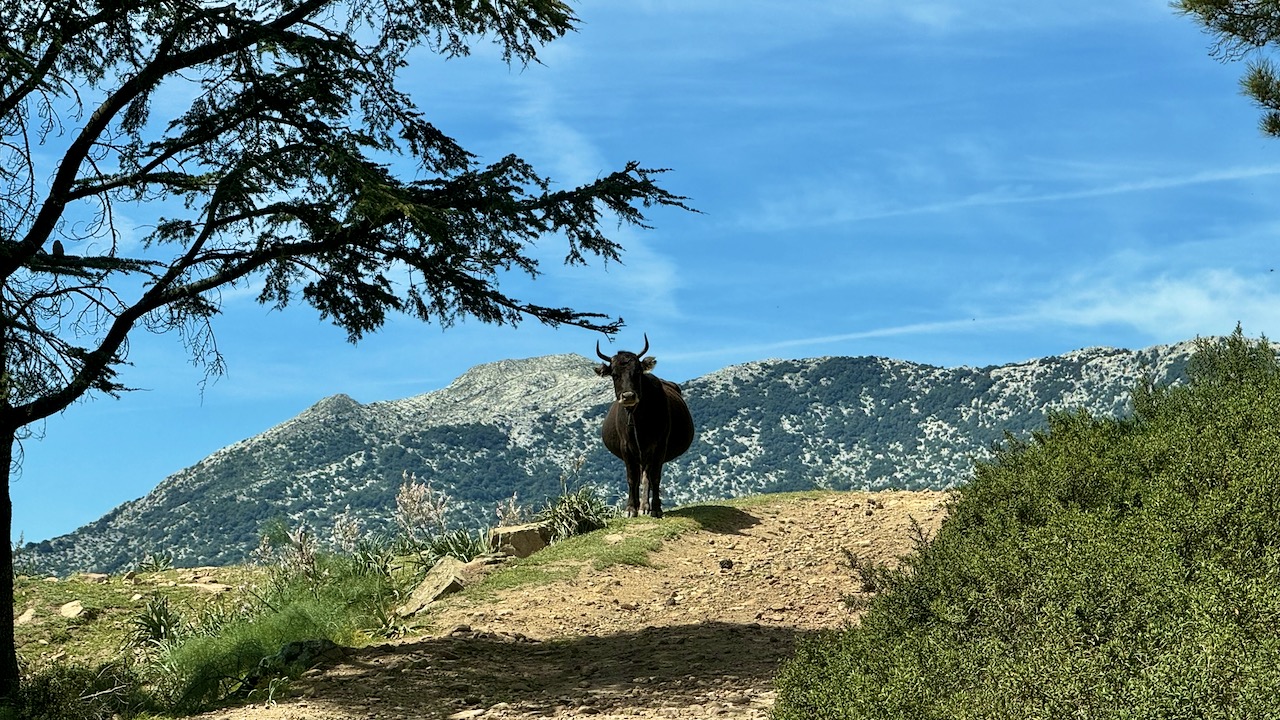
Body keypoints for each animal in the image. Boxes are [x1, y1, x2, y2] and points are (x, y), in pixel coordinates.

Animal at [593, 335, 696, 515]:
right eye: (614, 374)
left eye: (638, 372)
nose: (628, 396)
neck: (638, 419)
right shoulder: (626, 447)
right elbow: (632, 478)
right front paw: (630, 509)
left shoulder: (659, 445)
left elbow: (653, 477)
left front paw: (653, 508)